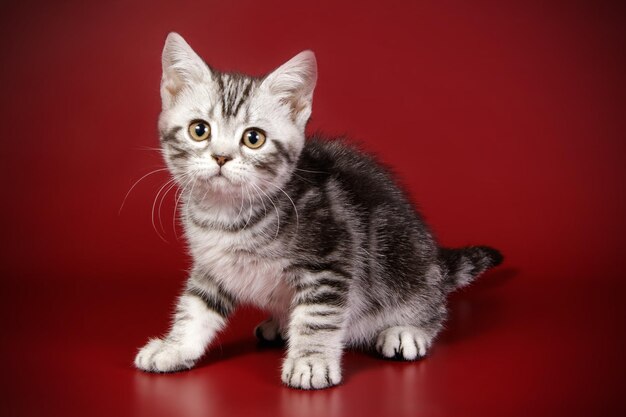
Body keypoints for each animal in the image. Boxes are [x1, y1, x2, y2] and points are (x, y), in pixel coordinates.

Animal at [134, 33, 500, 390]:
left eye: (254, 138)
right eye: (200, 130)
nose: (221, 157)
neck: (229, 214)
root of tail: (433, 258)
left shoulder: (329, 259)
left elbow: (317, 316)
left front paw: (310, 362)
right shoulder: (213, 266)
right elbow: (196, 307)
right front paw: (175, 347)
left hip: (402, 257)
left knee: (429, 301)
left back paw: (408, 330)